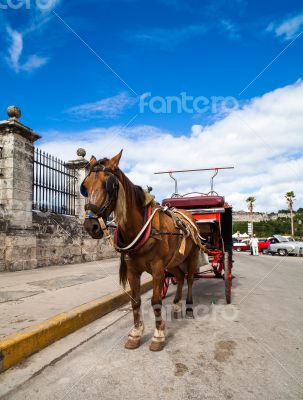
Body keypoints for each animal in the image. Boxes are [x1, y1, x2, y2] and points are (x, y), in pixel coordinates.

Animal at [81, 152, 204, 352]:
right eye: (85, 186)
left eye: (110, 184)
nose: (91, 226)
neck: (141, 228)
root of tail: (189, 216)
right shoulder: (133, 270)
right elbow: (135, 301)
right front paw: (136, 333)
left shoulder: (158, 269)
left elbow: (155, 301)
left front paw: (158, 335)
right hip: (174, 261)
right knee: (180, 277)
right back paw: (177, 305)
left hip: (191, 256)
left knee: (190, 278)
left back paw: (188, 308)